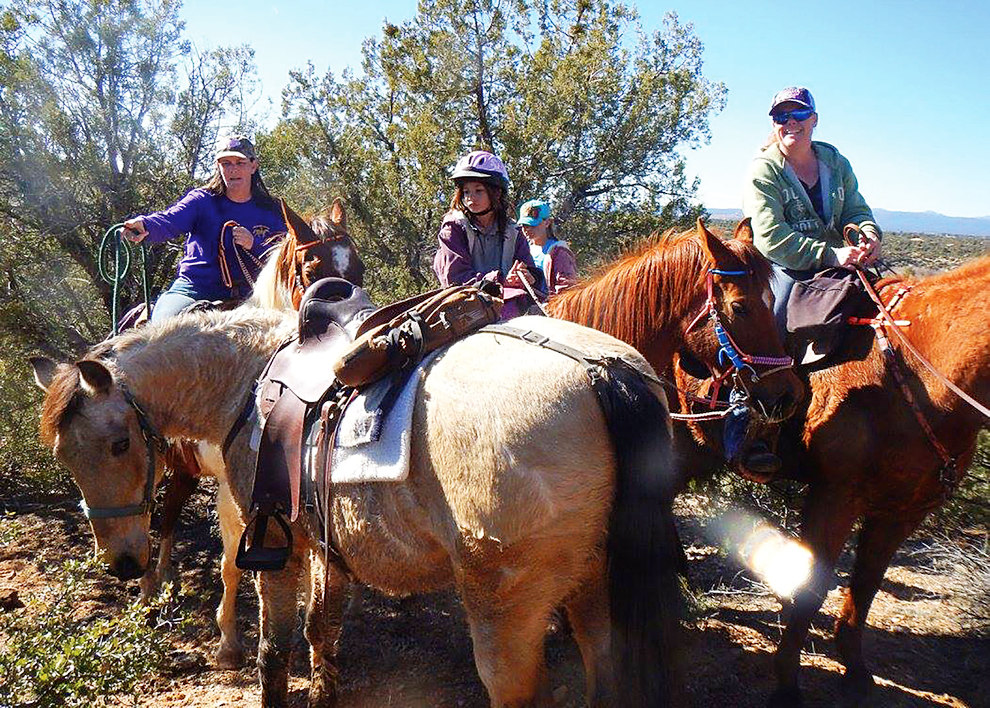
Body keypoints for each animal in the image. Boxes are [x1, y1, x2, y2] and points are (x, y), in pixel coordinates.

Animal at [676, 253, 990, 704]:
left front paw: (854, 667)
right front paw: (787, 682)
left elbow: (866, 585)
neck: (922, 380)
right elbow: (811, 586)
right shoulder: (835, 498)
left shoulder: (903, 512)